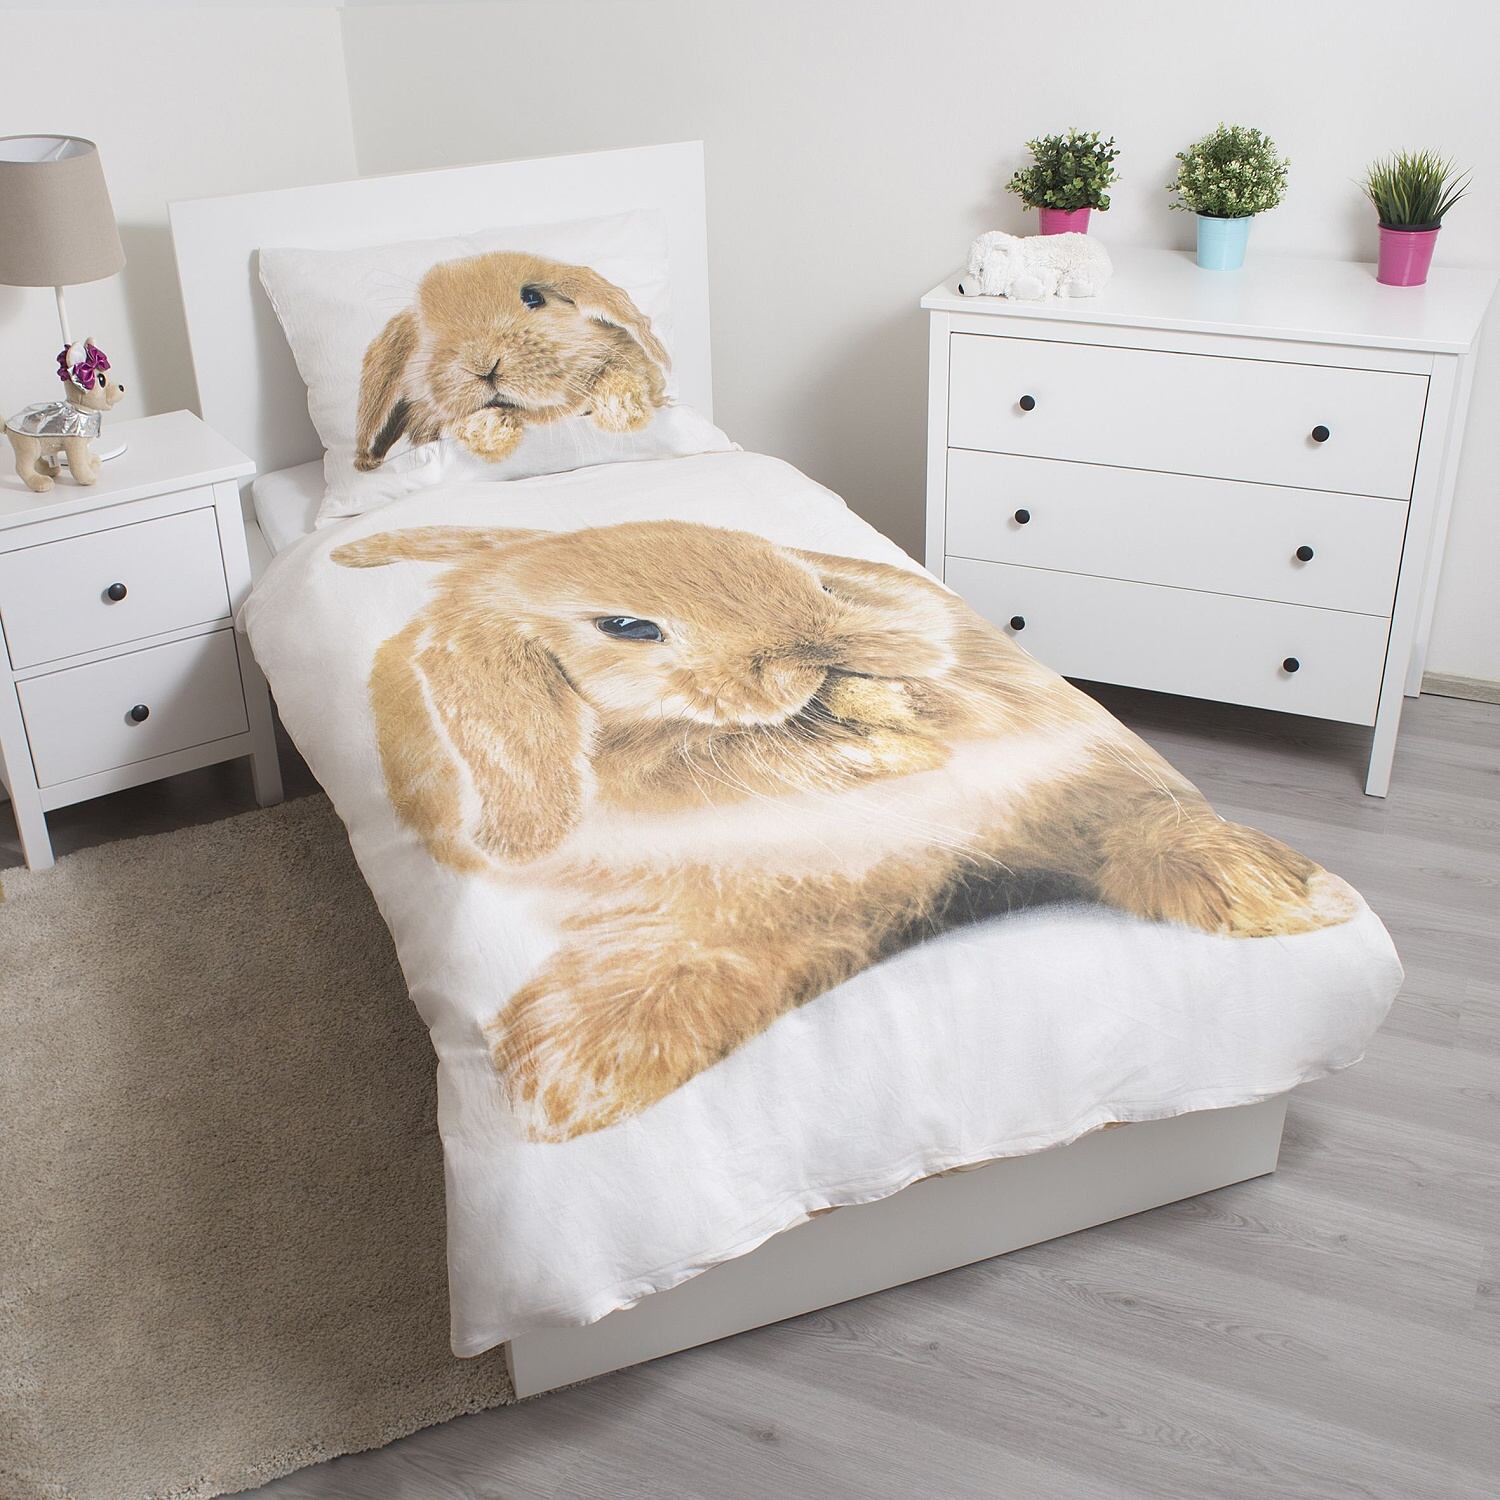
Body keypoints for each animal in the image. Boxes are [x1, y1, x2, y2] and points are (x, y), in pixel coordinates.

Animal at [332, 520, 1356, 1141]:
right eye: (626, 626)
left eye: (803, 572)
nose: (814, 646)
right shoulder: (761, 894)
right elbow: (714, 952)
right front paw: (568, 1085)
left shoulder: (1073, 794)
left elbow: (1150, 826)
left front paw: (1290, 896)